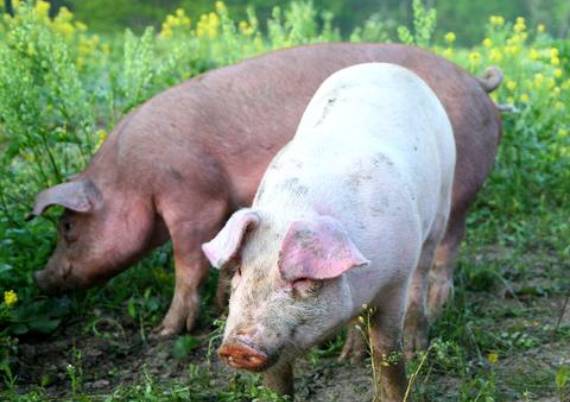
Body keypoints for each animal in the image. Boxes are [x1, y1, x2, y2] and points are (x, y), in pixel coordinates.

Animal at [202, 62, 454, 398]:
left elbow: (387, 351)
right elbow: (278, 377)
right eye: (240, 270)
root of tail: (383, 65)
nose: (237, 347)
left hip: (442, 201)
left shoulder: (395, 281)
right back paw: (349, 356)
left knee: (423, 272)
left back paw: (416, 346)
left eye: (304, 279)